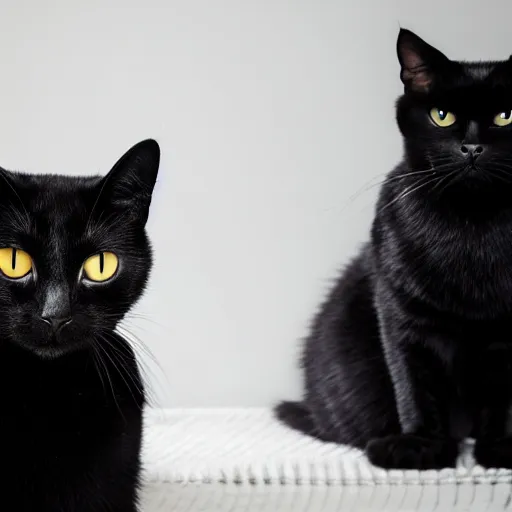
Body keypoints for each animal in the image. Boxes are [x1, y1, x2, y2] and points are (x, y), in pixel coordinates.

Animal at [278, 27, 512, 468]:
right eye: (442, 115)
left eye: (506, 116)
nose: (472, 148)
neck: (473, 226)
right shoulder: (402, 315)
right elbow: (413, 384)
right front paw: (422, 447)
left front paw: (503, 448)